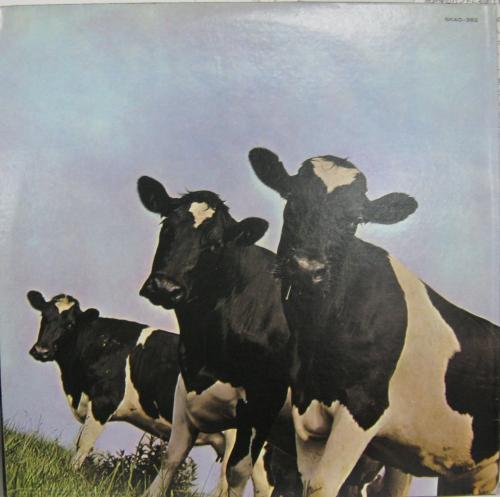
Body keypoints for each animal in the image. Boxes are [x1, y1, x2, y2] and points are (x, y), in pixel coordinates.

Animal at [26, 290, 272, 497]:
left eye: (69, 324)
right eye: (44, 316)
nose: (41, 350)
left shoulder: (104, 401)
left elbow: (83, 443)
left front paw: (70, 473)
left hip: (238, 439)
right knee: (263, 486)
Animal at [136, 176, 411, 497]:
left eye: (215, 245)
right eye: (167, 226)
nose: (166, 287)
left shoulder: (263, 399)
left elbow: (237, 471)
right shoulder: (186, 388)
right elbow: (171, 459)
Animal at [248, 147, 500, 496]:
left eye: (354, 220)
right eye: (292, 198)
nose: (307, 268)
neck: (317, 334)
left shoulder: (363, 408)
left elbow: (324, 485)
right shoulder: (305, 409)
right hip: (464, 474)